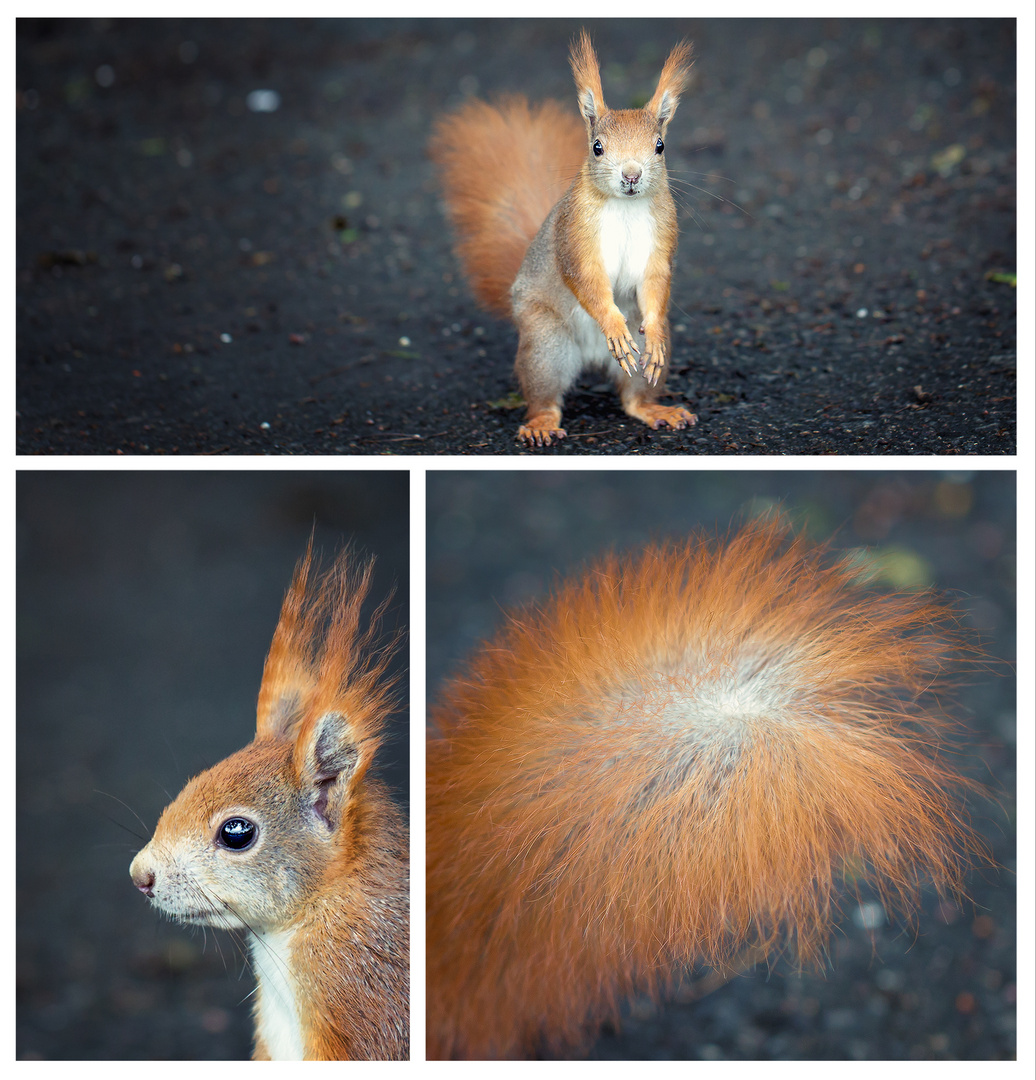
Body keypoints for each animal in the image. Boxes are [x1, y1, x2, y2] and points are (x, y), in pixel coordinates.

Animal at [429, 29, 695, 444]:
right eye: (597, 147)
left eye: (660, 146)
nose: (631, 175)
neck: (625, 207)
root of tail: (592, 356)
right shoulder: (573, 234)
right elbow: (584, 279)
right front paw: (613, 323)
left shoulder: (662, 233)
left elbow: (655, 281)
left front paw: (650, 334)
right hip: (546, 344)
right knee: (545, 394)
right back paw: (541, 423)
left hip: (634, 360)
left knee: (634, 396)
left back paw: (656, 407)